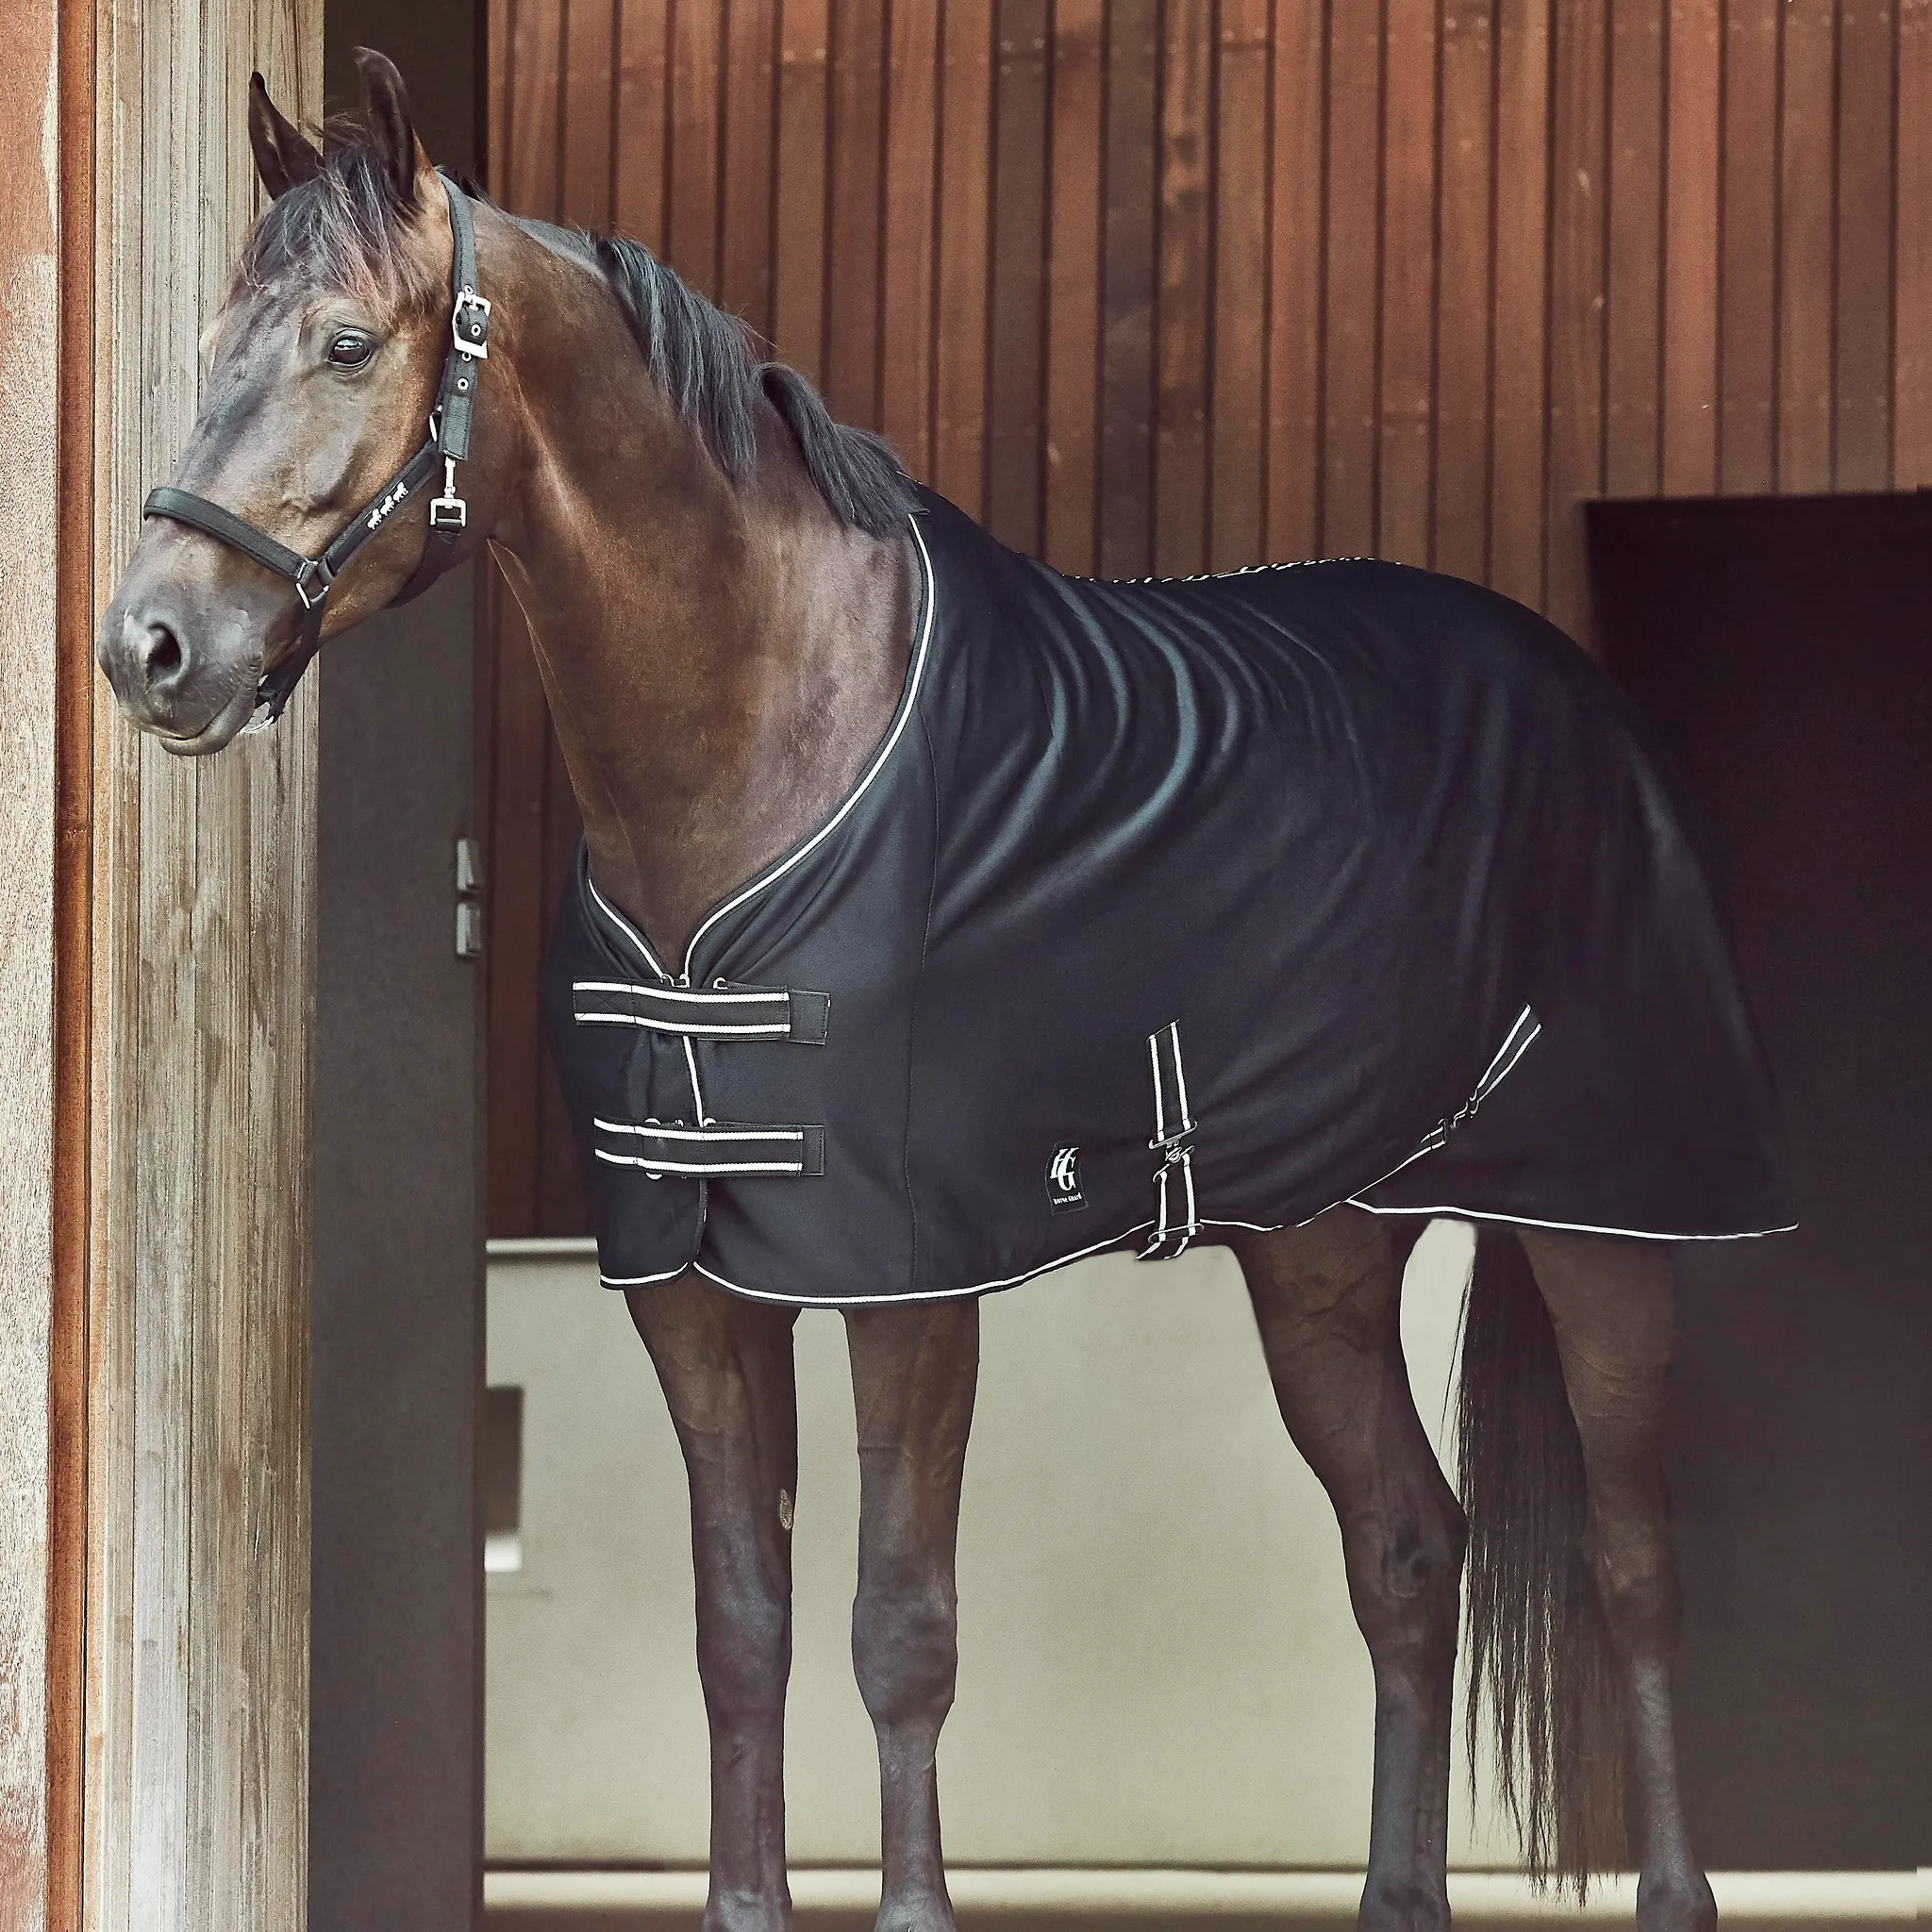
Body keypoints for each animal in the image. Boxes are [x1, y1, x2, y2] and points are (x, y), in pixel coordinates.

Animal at [97, 52, 1792, 1932]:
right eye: (214, 339)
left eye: (343, 342)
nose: (151, 647)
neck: (764, 738)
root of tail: (1579, 695)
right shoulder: (691, 1288)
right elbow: (742, 1628)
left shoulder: (907, 1284)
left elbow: (898, 1626)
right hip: (1323, 1260)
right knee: (1407, 1550)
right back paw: (1398, 1895)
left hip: (1605, 1227)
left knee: (1632, 1563)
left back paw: (1673, 1893)